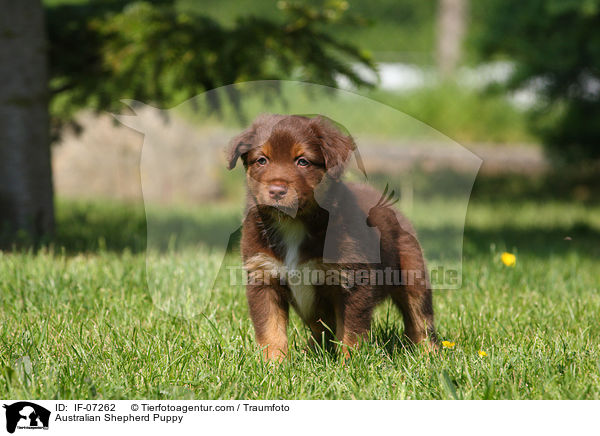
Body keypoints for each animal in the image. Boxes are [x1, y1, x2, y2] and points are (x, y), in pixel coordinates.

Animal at [227, 113, 438, 362]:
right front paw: (273, 365)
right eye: (261, 160)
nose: (276, 191)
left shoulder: (353, 279)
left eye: (302, 161)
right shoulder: (263, 275)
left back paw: (430, 356)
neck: (293, 223)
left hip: (412, 275)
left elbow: (351, 332)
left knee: (421, 320)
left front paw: (350, 365)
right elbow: (270, 329)